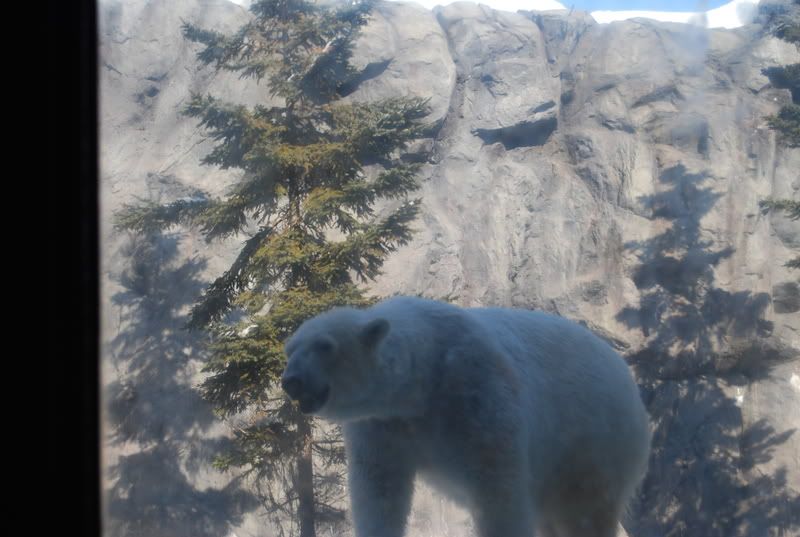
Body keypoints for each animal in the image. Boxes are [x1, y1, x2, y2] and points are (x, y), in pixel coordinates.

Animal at [281, 296, 651, 537]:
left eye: (325, 346)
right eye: (290, 349)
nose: (291, 380)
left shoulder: (477, 397)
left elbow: (498, 490)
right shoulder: (382, 427)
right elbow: (379, 491)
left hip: (592, 440)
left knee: (586, 511)